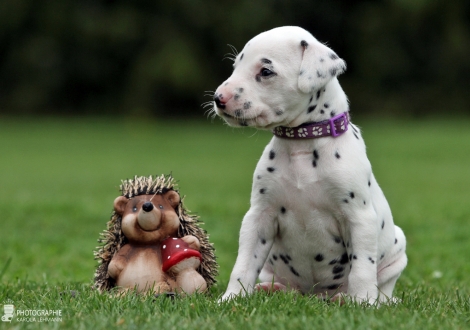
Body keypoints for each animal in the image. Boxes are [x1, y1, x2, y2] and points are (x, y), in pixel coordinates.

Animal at [213, 26, 408, 304]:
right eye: (235, 66)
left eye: (266, 71)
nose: (219, 98)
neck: (301, 146)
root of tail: (314, 296)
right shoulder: (259, 216)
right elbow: (244, 263)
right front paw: (232, 297)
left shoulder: (359, 218)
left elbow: (362, 267)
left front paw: (363, 302)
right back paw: (271, 289)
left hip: (397, 250)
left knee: (383, 287)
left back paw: (358, 299)